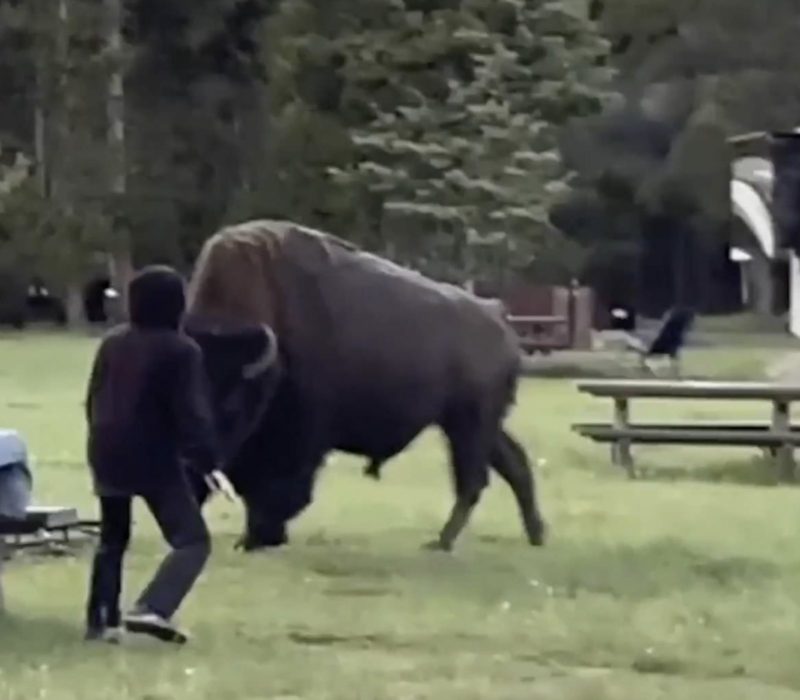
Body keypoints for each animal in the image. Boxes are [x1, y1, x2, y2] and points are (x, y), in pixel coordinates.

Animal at [184, 220, 546, 552]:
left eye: (232, 402)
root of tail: (498, 316)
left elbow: (276, 488)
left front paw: (257, 538)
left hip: (467, 425)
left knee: (473, 480)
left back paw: (441, 542)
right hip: (474, 425)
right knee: (513, 464)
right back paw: (535, 534)